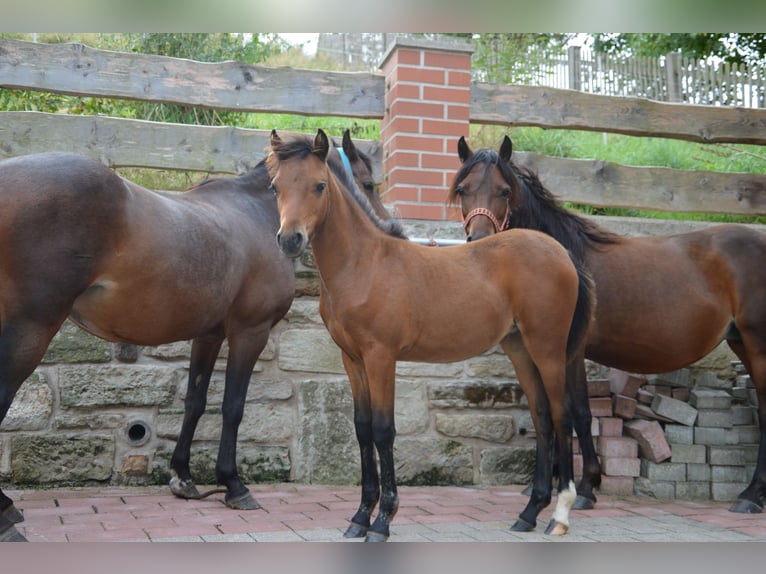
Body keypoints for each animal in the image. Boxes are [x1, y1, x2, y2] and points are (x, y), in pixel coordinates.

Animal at [0, 132, 382, 544]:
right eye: (369, 184)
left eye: (318, 186)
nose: (386, 227)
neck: (255, 213)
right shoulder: (250, 331)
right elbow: (232, 405)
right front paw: (233, 485)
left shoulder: (209, 335)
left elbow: (195, 402)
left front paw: (182, 477)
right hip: (32, 329)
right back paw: (7, 517)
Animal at [270, 128, 600, 544]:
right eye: (275, 186)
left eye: (319, 185)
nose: (290, 240)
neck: (364, 264)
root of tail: (562, 252)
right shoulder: (353, 359)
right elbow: (361, 430)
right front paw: (359, 518)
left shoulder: (381, 357)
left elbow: (383, 431)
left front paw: (382, 521)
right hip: (520, 348)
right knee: (541, 418)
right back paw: (528, 513)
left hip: (549, 350)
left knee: (561, 416)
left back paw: (560, 515)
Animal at [452, 136, 766, 516]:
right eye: (463, 189)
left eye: (504, 191)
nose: (480, 241)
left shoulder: (570, 352)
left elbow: (577, 413)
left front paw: (584, 487)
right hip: (742, 343)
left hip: (759, 344)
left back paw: (750, 496)